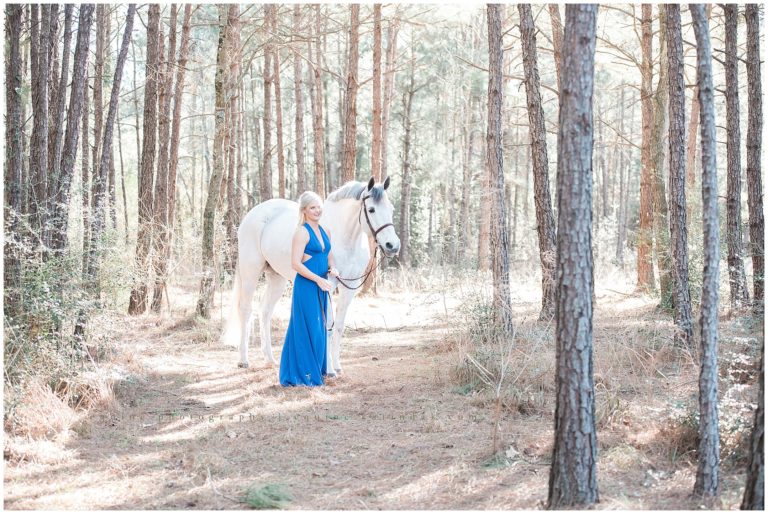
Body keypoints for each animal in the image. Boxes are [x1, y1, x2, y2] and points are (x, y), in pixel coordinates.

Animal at [223, 177, 401, 373]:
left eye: (391, 208)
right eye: (371, 209)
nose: (392, 245)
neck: (344, 237)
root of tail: (252, 215)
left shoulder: (350, 288)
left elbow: (339, 327)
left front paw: (337, 366)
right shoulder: (328, 285)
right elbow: (328, 326)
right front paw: (329, 369)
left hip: (277, 278)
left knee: (265, 311)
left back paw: (269, 358)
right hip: (250, 271)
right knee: (246, 310)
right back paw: (243, 360)